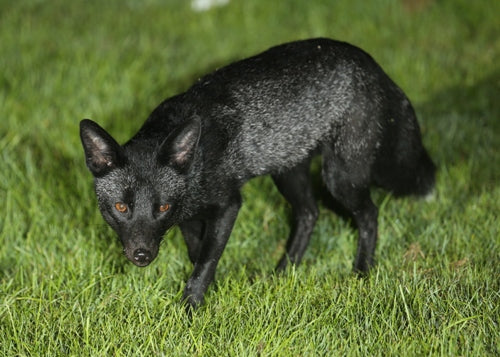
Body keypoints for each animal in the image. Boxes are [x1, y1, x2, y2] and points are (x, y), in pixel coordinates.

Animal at [79, 37, 434, 308]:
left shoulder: (228, 205)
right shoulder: (188, 217)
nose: (142, 255)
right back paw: (283, 272)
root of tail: (372, 64)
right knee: (310, 213)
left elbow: (205, 262)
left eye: (162, 207)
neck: (198, 163)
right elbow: (197, 254)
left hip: (340, 178)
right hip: (288, 173)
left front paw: (190, 308)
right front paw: (207, 292)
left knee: (369, 214)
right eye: (120, 207)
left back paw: (361, 271)